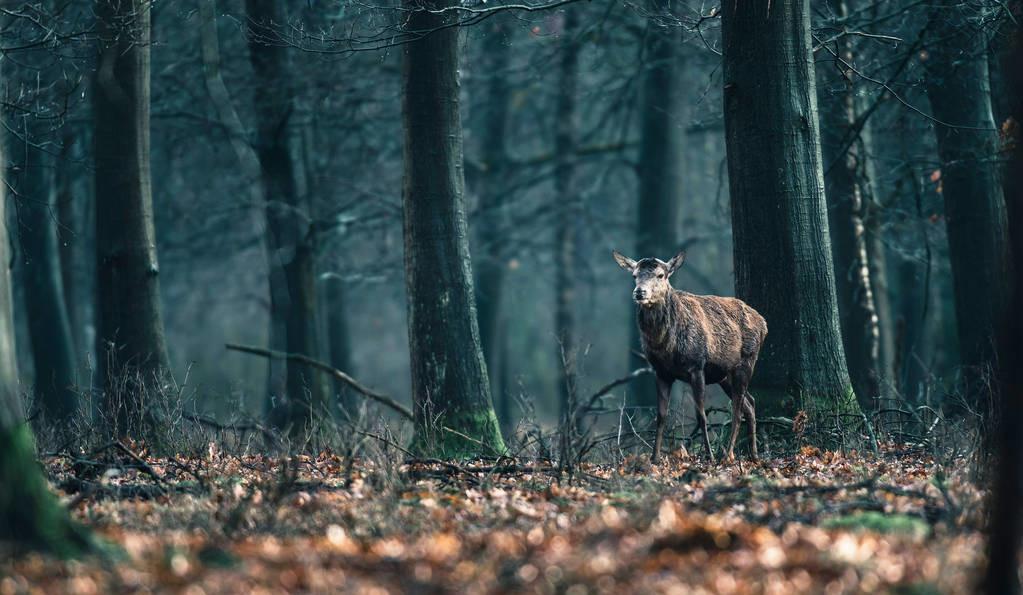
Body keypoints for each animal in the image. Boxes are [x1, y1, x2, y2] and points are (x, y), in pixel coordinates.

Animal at [609, 249, 765, 464]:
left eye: (661, 275)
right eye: (634, 275)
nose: (640, 292)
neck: (667, 347)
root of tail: (764, 323)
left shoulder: (696, 366)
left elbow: (701, 415)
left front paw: (709, 456)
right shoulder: (661, 372)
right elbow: (661, 415)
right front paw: (654, 458)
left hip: (746, 361)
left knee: (737, 409)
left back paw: (727, 454)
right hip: (724, 375)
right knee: (750, 403)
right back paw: (754, 454)